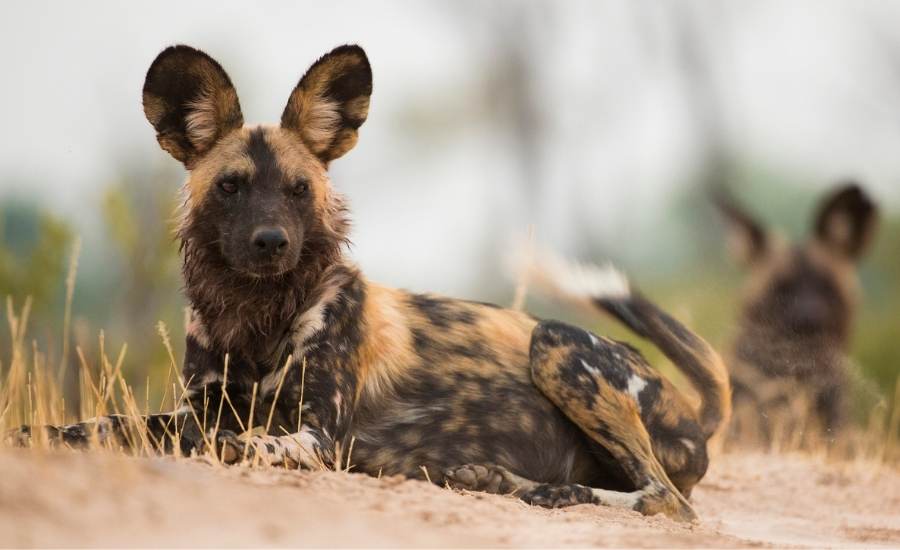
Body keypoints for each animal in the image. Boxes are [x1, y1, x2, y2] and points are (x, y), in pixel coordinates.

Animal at [8, 45, 732, 524]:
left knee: (666, 501)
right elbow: (107, 424)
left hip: (554, 343)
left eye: (299, 190)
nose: (271, 242)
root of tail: (690, 409)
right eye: (231, 186)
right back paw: (489, 478)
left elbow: (235, 444)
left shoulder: (316, 438)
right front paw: (39, 436)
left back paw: (558, 493)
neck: (254, 318)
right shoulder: (199, 408)